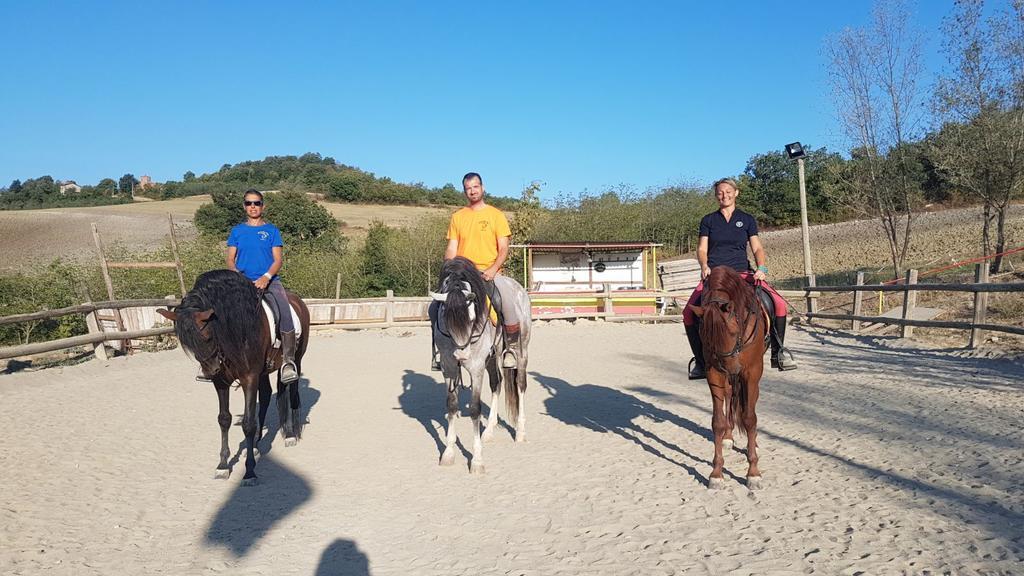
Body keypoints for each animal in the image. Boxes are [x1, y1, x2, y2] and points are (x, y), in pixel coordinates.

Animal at [157, 266, 309, 481]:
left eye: (207, 335)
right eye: (186, 342)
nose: (210, 370)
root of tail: (297, 300)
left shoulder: (249, 378)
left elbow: (248, 423)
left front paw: (250, 471)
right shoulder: (222, 382)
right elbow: (224, 419)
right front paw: (222, 464)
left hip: (297, 359)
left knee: (292, 391)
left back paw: (290, 435)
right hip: (263, 372)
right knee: (266, 397)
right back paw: (256, 444)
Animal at [428, 258, 532, 473]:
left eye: (471, 317)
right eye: (446, 317)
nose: (462, 355)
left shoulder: (476, 369)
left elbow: (475, 409)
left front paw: (477, 461)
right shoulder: (449, 368)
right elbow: (451, 406)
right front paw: (448, 453)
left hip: (522, 350)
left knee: (520, 384)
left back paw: (520, 432)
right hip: (491, 358)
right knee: (496, 384)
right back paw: (489, 431)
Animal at [688, 266, 770, 487]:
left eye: (733, 332)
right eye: (708, 338)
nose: (732, 368)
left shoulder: (751, 372)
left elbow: (749, 418)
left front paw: (753, 472)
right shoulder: (714, 372)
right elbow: (717, 421)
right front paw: (716, 473)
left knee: (751, 404)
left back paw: (753, 443)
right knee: (728, 397)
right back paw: (728, 437)